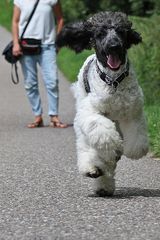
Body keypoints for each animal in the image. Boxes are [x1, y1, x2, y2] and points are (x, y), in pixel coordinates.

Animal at [56, 11, 149, 196]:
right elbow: (102, 132)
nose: (113, 46)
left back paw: (103, 184)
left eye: (121, 31)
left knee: (109, 159)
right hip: (82, 121)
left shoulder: (132, 112)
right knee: (88, 147)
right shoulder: (91, 111)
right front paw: (110, 143)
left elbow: (137, 139)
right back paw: (92, 169)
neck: (114, 82)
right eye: (100, 33)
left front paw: (133, 150)